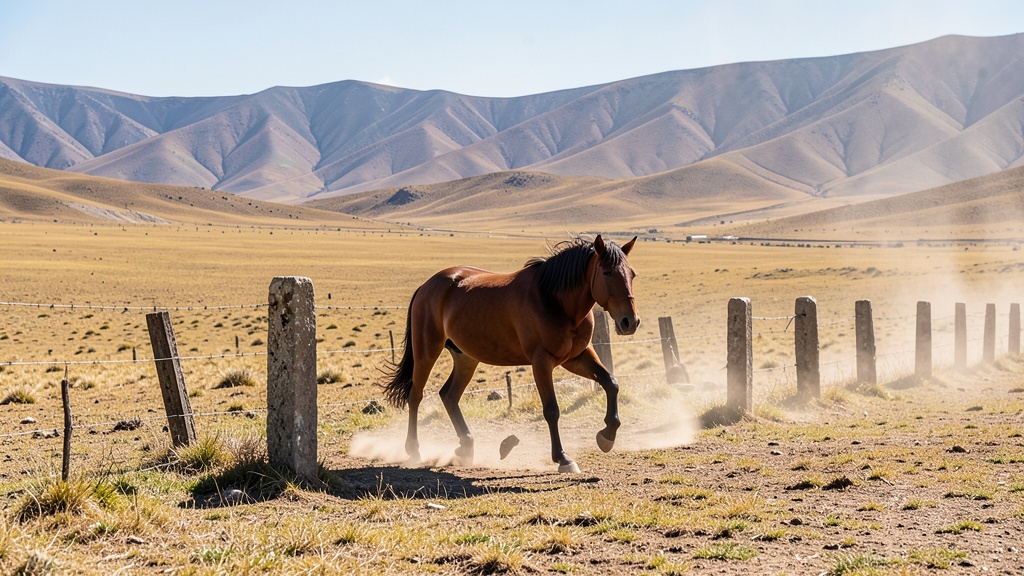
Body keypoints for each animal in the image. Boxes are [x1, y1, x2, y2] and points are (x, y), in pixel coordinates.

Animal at [382, 234, 640, 473]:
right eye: (607, 272)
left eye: (632, 274)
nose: (630, 321)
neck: (554, 300)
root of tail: (427, 286)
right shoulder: (542, 361)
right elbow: (551, 409)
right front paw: (563, 458)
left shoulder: (577, 357)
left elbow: (611, 382)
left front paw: (607, 435)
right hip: (427, 351)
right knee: (416, 396)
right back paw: (414, 450)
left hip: (466, 357)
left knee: (449, 395)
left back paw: (466, 447)